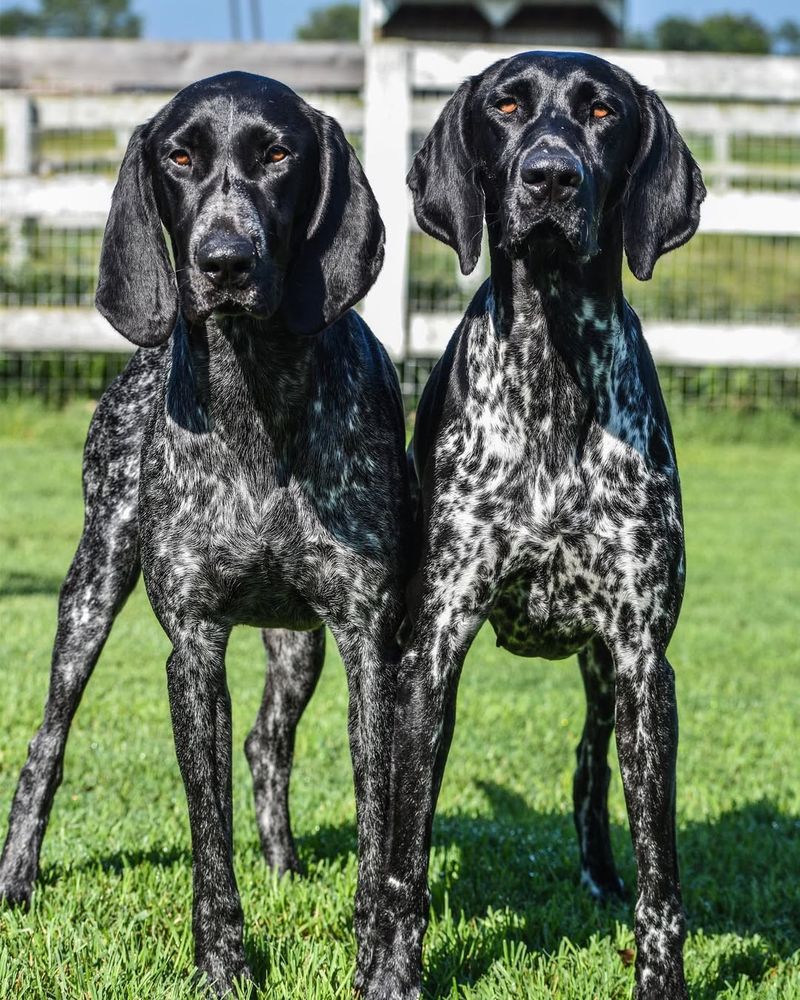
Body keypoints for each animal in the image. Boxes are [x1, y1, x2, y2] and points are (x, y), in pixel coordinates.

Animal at [0, 74, 412, 996]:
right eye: (179, 157)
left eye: (279, 154)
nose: (224, 261)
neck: (253, 394)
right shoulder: (193, 647)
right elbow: (207, 837)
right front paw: (223, 965)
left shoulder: (370, 643)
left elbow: (379, 837)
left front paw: (381, 964)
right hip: (90, 589)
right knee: (45, 743)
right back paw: (15, 879)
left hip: (299, 643)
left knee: (268, 742)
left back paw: (285, 866)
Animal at [362, 52, 708, 1000]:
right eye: (509, 105)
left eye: (603, 111)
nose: (550, 176)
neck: (554, 371)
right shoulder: (431, 651)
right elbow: (403, 860)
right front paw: (390, 975)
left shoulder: (642, 662)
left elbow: (663, 880)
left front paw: (659, 977)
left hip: (606, 680)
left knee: (590, 769)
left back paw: (598, 874)